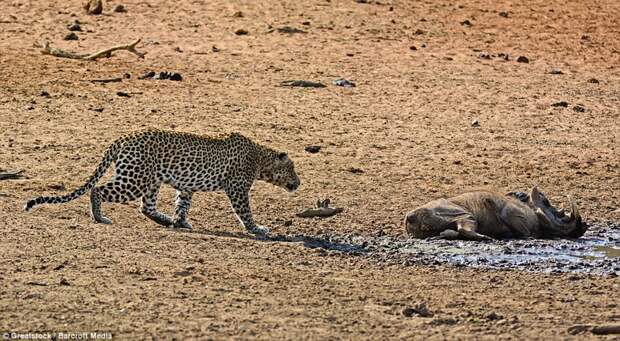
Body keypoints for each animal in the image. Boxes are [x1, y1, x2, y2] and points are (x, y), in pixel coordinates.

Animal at [25, 129, 302, 235]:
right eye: (291, 168)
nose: (298, 183)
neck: (260, 158)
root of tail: (123, 137)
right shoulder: (237, 189)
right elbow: (245, 212)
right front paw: (257, 229)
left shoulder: (187, 187)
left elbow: (182, 205)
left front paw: (180, 221)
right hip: (134, 179)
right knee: (97, 189)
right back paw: (99, 217)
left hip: (150, 180)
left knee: (146, 207)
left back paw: (166, 220)